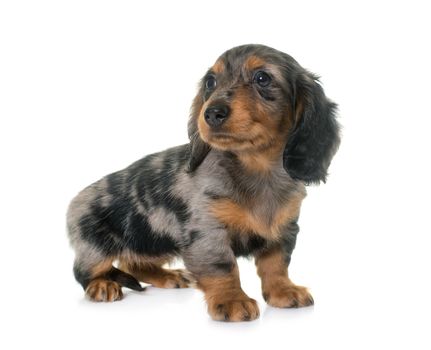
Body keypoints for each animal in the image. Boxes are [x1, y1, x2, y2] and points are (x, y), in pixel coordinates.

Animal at [66, 44, 340, 322]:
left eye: (262, 78)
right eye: (211, 81)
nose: (212, 113)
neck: (257, 169)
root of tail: (75, 201)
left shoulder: (284, 229)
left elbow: (276, 264)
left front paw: (283, 290)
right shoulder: (206, 231)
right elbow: (223, 267)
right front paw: (232, 300)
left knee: (134, 263)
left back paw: (167, 276)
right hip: (97, 247)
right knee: (84, 271)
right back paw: (102, 284)